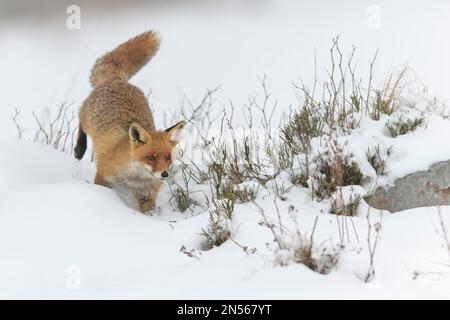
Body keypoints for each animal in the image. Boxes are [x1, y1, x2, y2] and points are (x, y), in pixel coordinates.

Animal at [74, 31, 185, 214]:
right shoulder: (103, 176)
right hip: (87, 118)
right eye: (151, 157)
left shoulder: (148, 193)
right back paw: (79, 149)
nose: (164, 175)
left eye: (168, 157)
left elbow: (148, 211)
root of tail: (117, 79)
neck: (135, 178)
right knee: (79, 117)